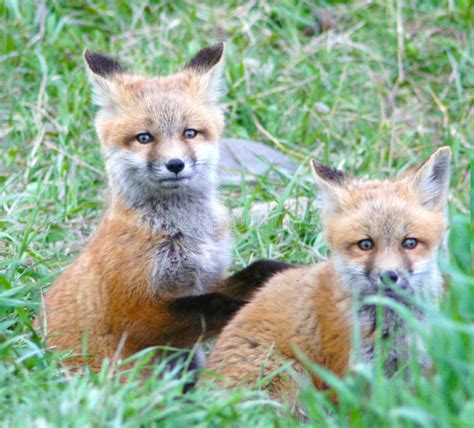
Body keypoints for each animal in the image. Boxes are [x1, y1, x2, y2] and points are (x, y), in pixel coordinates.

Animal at [38, 44, 288, 372]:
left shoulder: (206, 278)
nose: (175, 164)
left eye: (190, 133)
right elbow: (216, 305)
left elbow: (252, 273)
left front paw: (283, 273)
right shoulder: (136, 317)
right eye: (144, 138)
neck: (181, 232)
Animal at [204, 146, 452, 408]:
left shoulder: (416, 369)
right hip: (290, 375)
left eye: (410, 243)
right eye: (365, 244)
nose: (388, 276)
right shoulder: (352, 376)